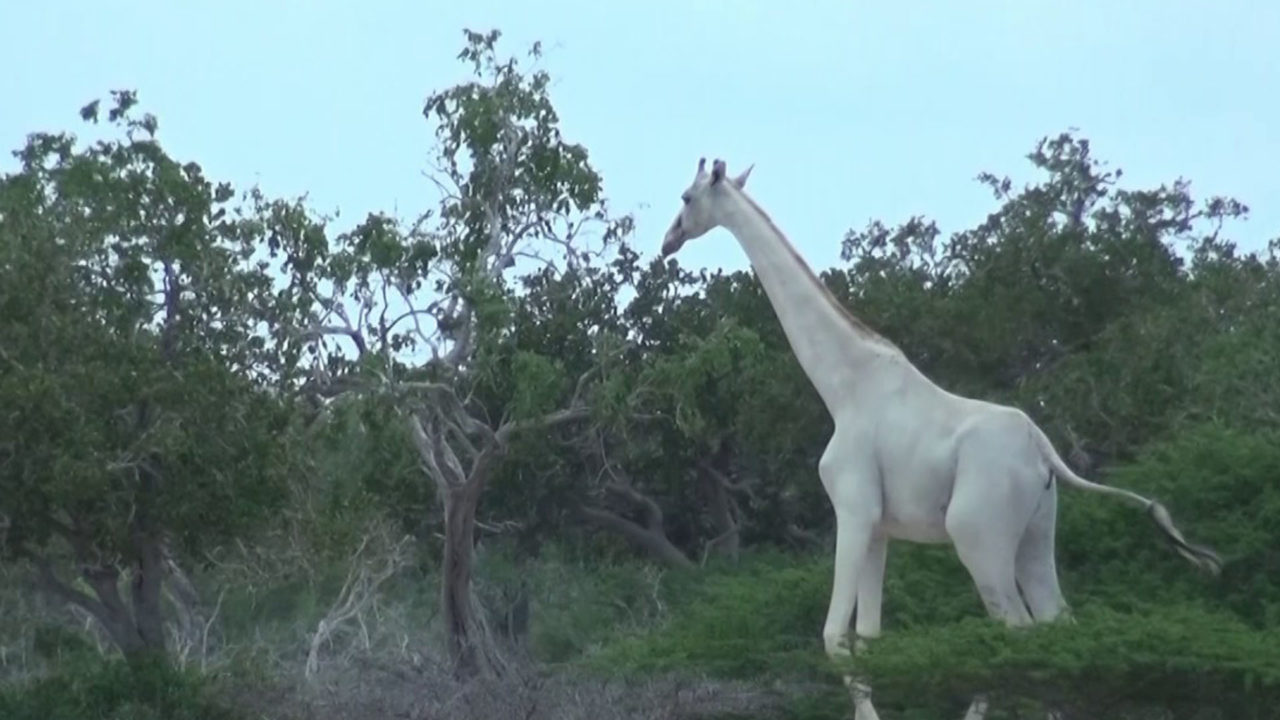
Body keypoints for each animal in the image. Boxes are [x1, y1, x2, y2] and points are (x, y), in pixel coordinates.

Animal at [659, 157, 1222, 720]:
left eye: (686, 197)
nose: (668, 241)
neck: (843, 386)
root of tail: (1043, 451)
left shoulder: (853, 510)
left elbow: (835, 638)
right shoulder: (881, 528)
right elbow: (871, 640)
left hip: (978, 537)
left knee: (1014, 633)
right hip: (1036, 536)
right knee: (1057, 625)